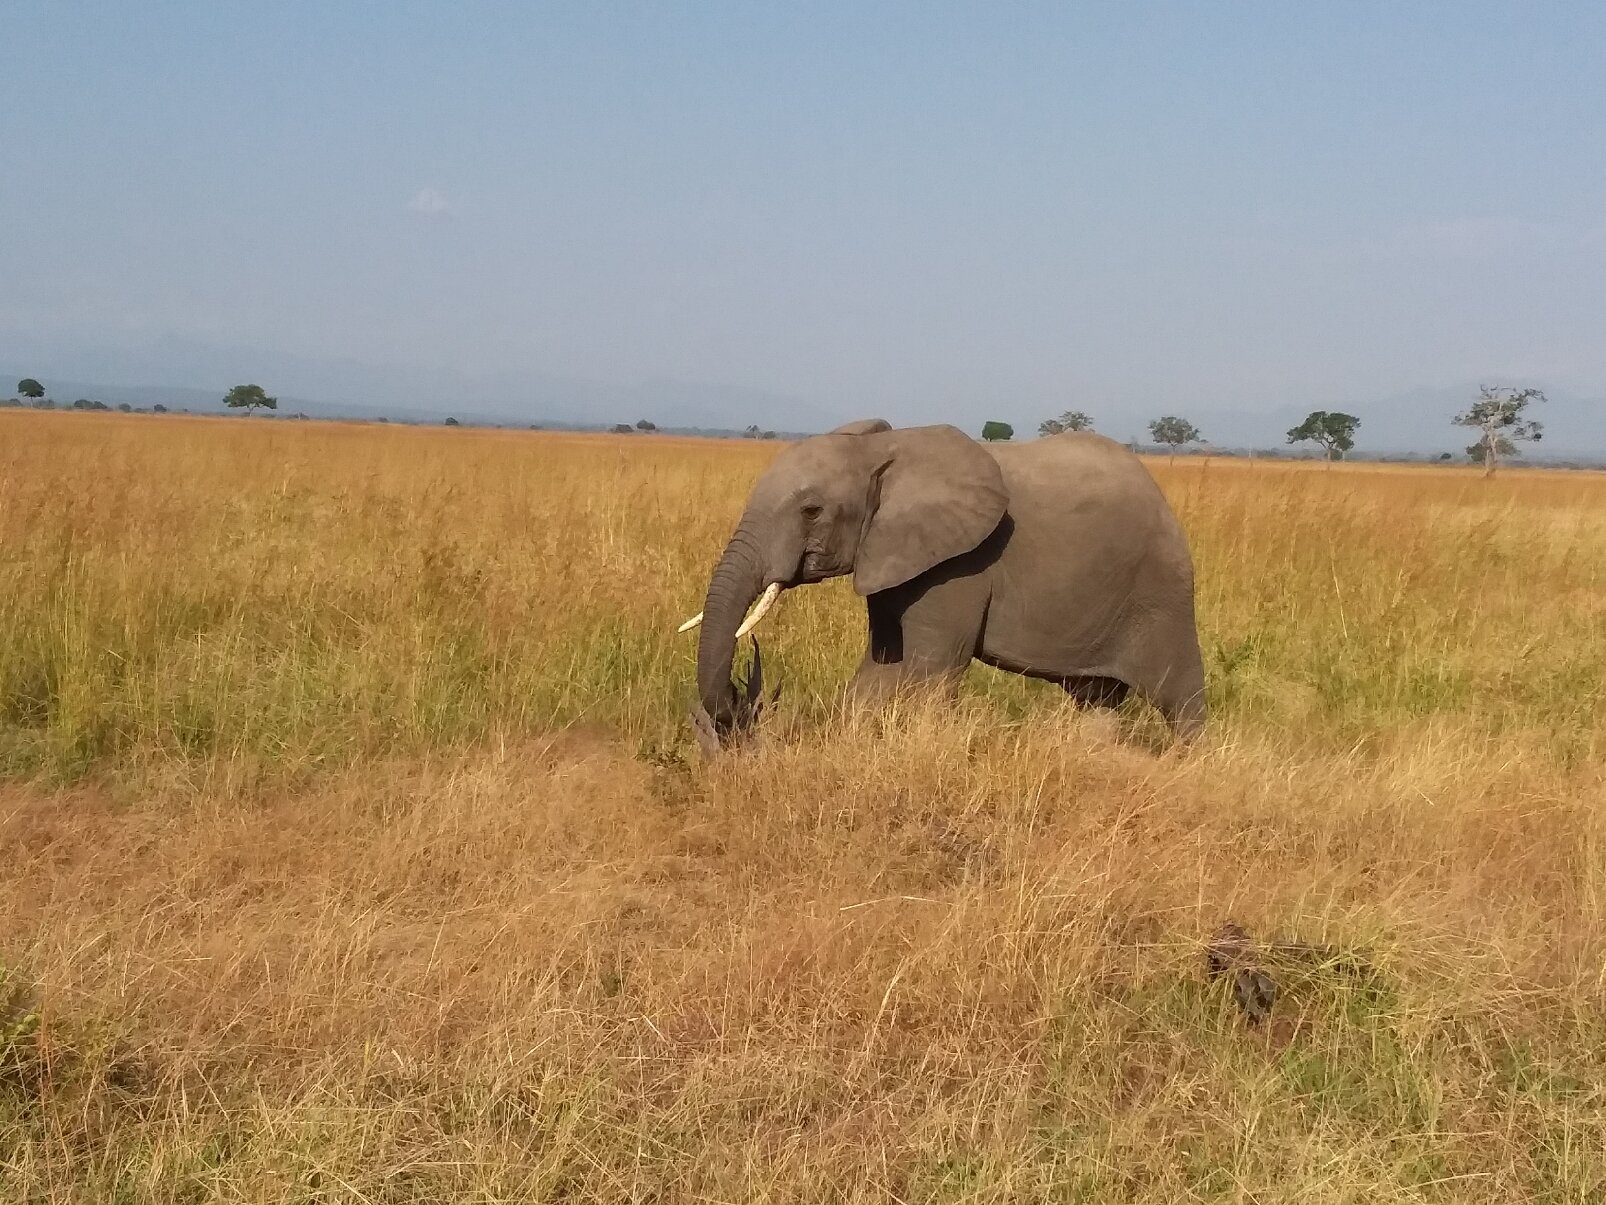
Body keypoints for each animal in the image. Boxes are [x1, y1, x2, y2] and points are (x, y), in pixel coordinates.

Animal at [679, 419, 1206, 746]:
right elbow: (881, 665)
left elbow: (930, 669)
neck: (880, 452)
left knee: (1180, 697)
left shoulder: (960, 564)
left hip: (1159, 591)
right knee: (1097, 699)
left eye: (811, 511)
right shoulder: (890, 554)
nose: (734, 709)